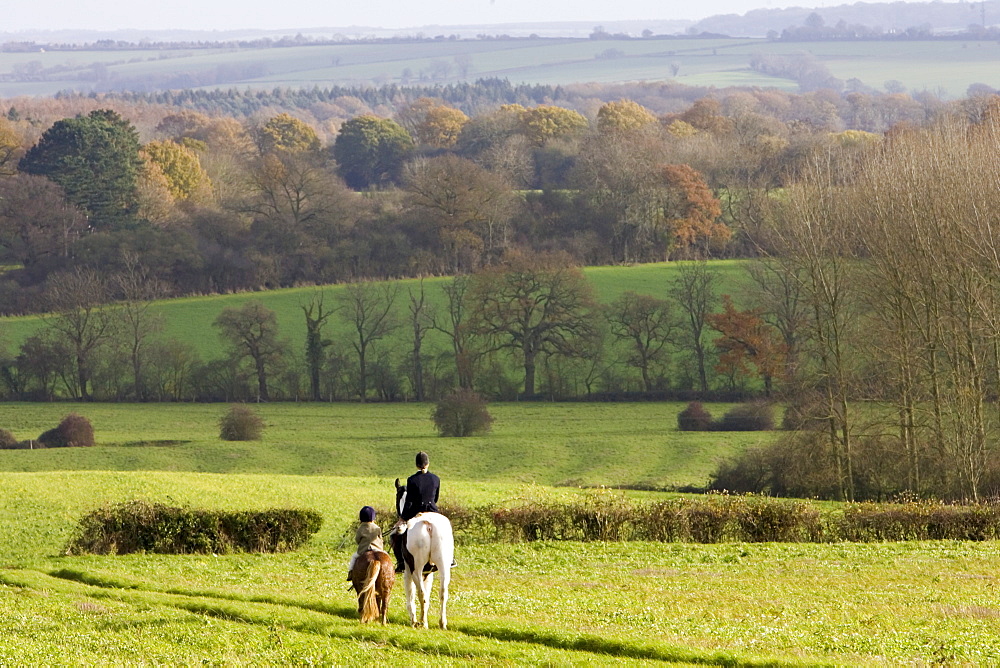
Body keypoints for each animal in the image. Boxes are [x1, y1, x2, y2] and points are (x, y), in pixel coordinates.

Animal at [396, 478, 456, 628]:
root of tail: (429, 524)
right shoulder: (428, 573)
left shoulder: (408, 570)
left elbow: (410, 595)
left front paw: (413, 619)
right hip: (443, 565)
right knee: (443, 592)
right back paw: (442, 623)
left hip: (416, 568)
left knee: (420, 593)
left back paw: (422, 623)